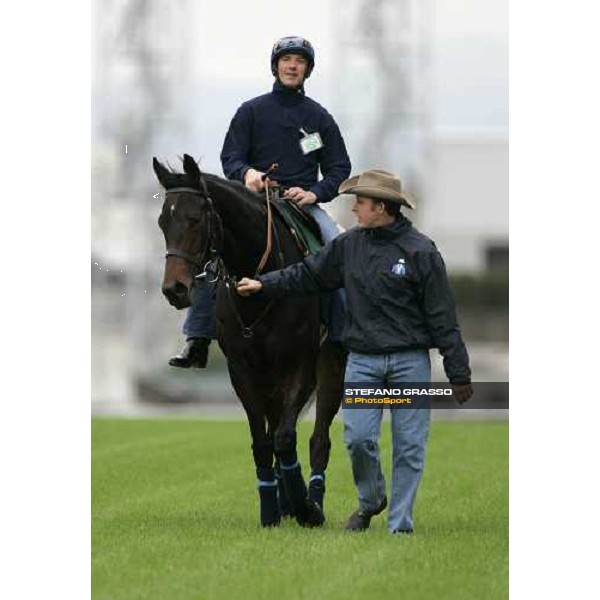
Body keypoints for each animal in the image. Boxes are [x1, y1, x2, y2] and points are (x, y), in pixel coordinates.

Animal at [152, 156, 344, 528]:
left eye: (195, 219)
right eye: (163, 221)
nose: (174, 290)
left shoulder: (301, 366)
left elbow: (285, 437)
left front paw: (305, 508)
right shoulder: (242, 371)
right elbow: (262, 441)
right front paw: (271, 509)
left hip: (330, 366)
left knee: (318, 439)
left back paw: (310, 502)